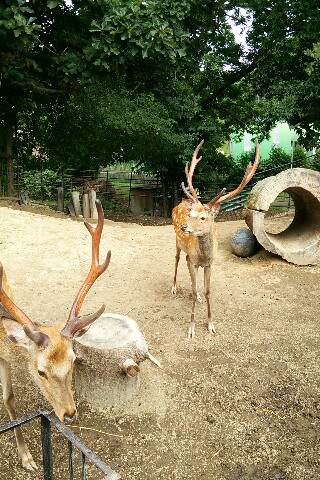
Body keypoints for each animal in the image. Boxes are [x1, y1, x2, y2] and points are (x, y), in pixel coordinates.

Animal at [0, 199, 110, 468]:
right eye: (40, 371)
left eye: (73, 361)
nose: (69, 414)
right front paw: (27, 457)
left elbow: (8, 397)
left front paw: (26, 457)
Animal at [171, 141, 258, 340]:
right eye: (191, 214)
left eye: (203, 217)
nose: (184, 227)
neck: (203, 255)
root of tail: (180, 203)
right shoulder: (193, 261)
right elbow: (194, 288)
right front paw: (191, 328)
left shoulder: (210, 263)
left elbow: (207, 290)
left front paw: (211, 324)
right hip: (177, 242)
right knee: (177, 259)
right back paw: (174, 288)